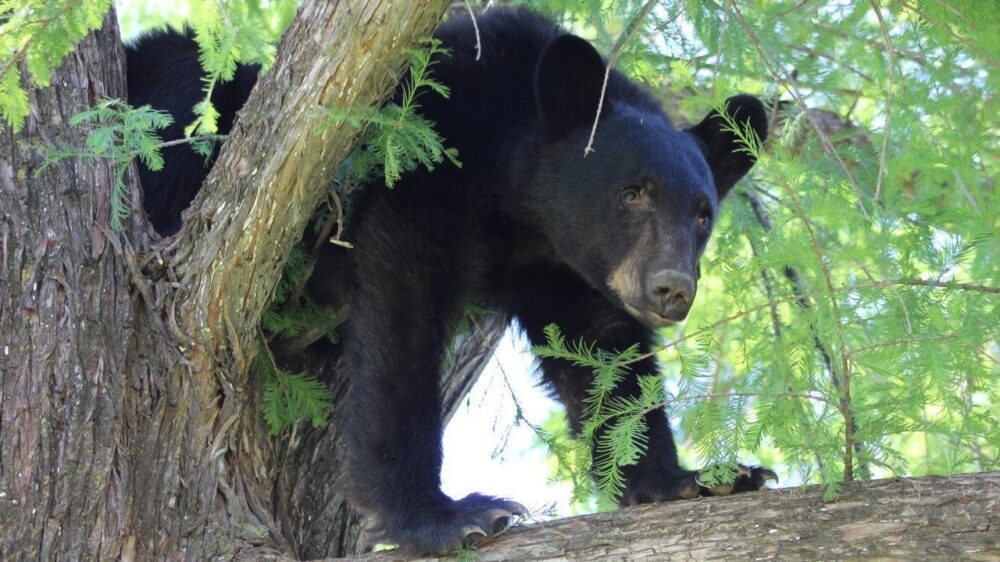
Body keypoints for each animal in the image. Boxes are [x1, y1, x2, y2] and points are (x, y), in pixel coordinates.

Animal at [127, 6, 772, 552]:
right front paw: (445, 515)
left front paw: (691, 477)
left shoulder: (562, 265)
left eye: (702, 215)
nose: (672, 289)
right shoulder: (427, 154)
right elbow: (403, 315)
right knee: (184, 80)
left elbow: (604, 352)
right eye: (633, 192)